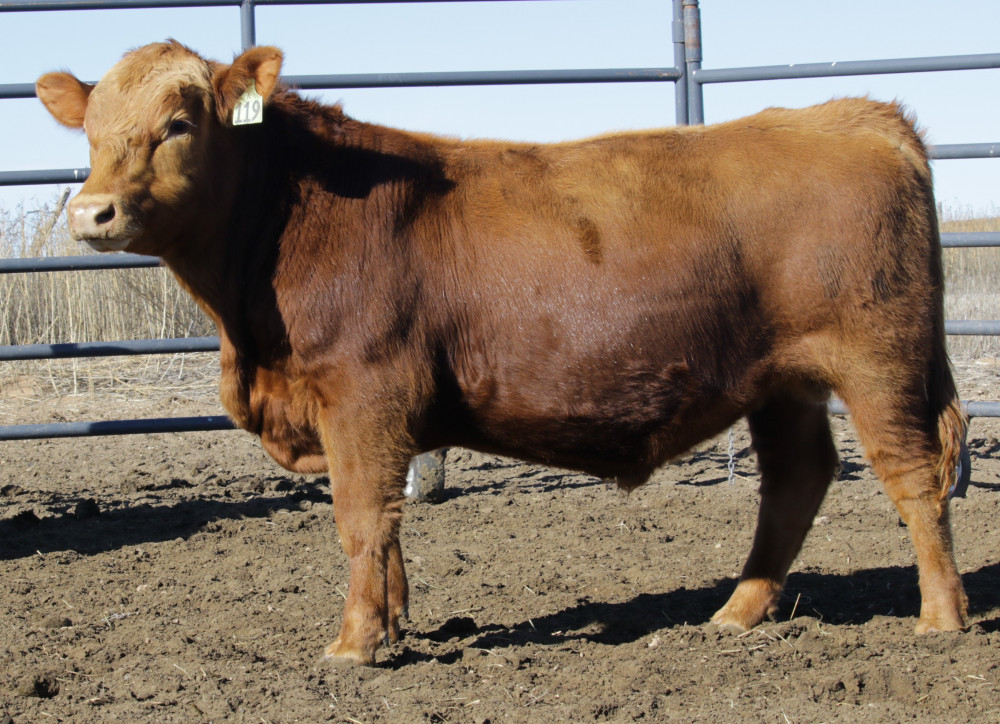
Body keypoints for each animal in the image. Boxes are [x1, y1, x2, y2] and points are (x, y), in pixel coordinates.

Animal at [36, 41, 969, 667]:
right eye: (90, 129)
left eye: (178, 124)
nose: (91, 212)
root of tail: (858, 116)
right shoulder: (370, 415)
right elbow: (389, 524)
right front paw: (395, 624)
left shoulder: (361, 394)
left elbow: (360, 518)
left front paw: (354, 646)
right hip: (781, 381)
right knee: (797, 480)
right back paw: (738, 613)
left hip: (878, 361)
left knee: (912, 474)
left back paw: (941, 618)